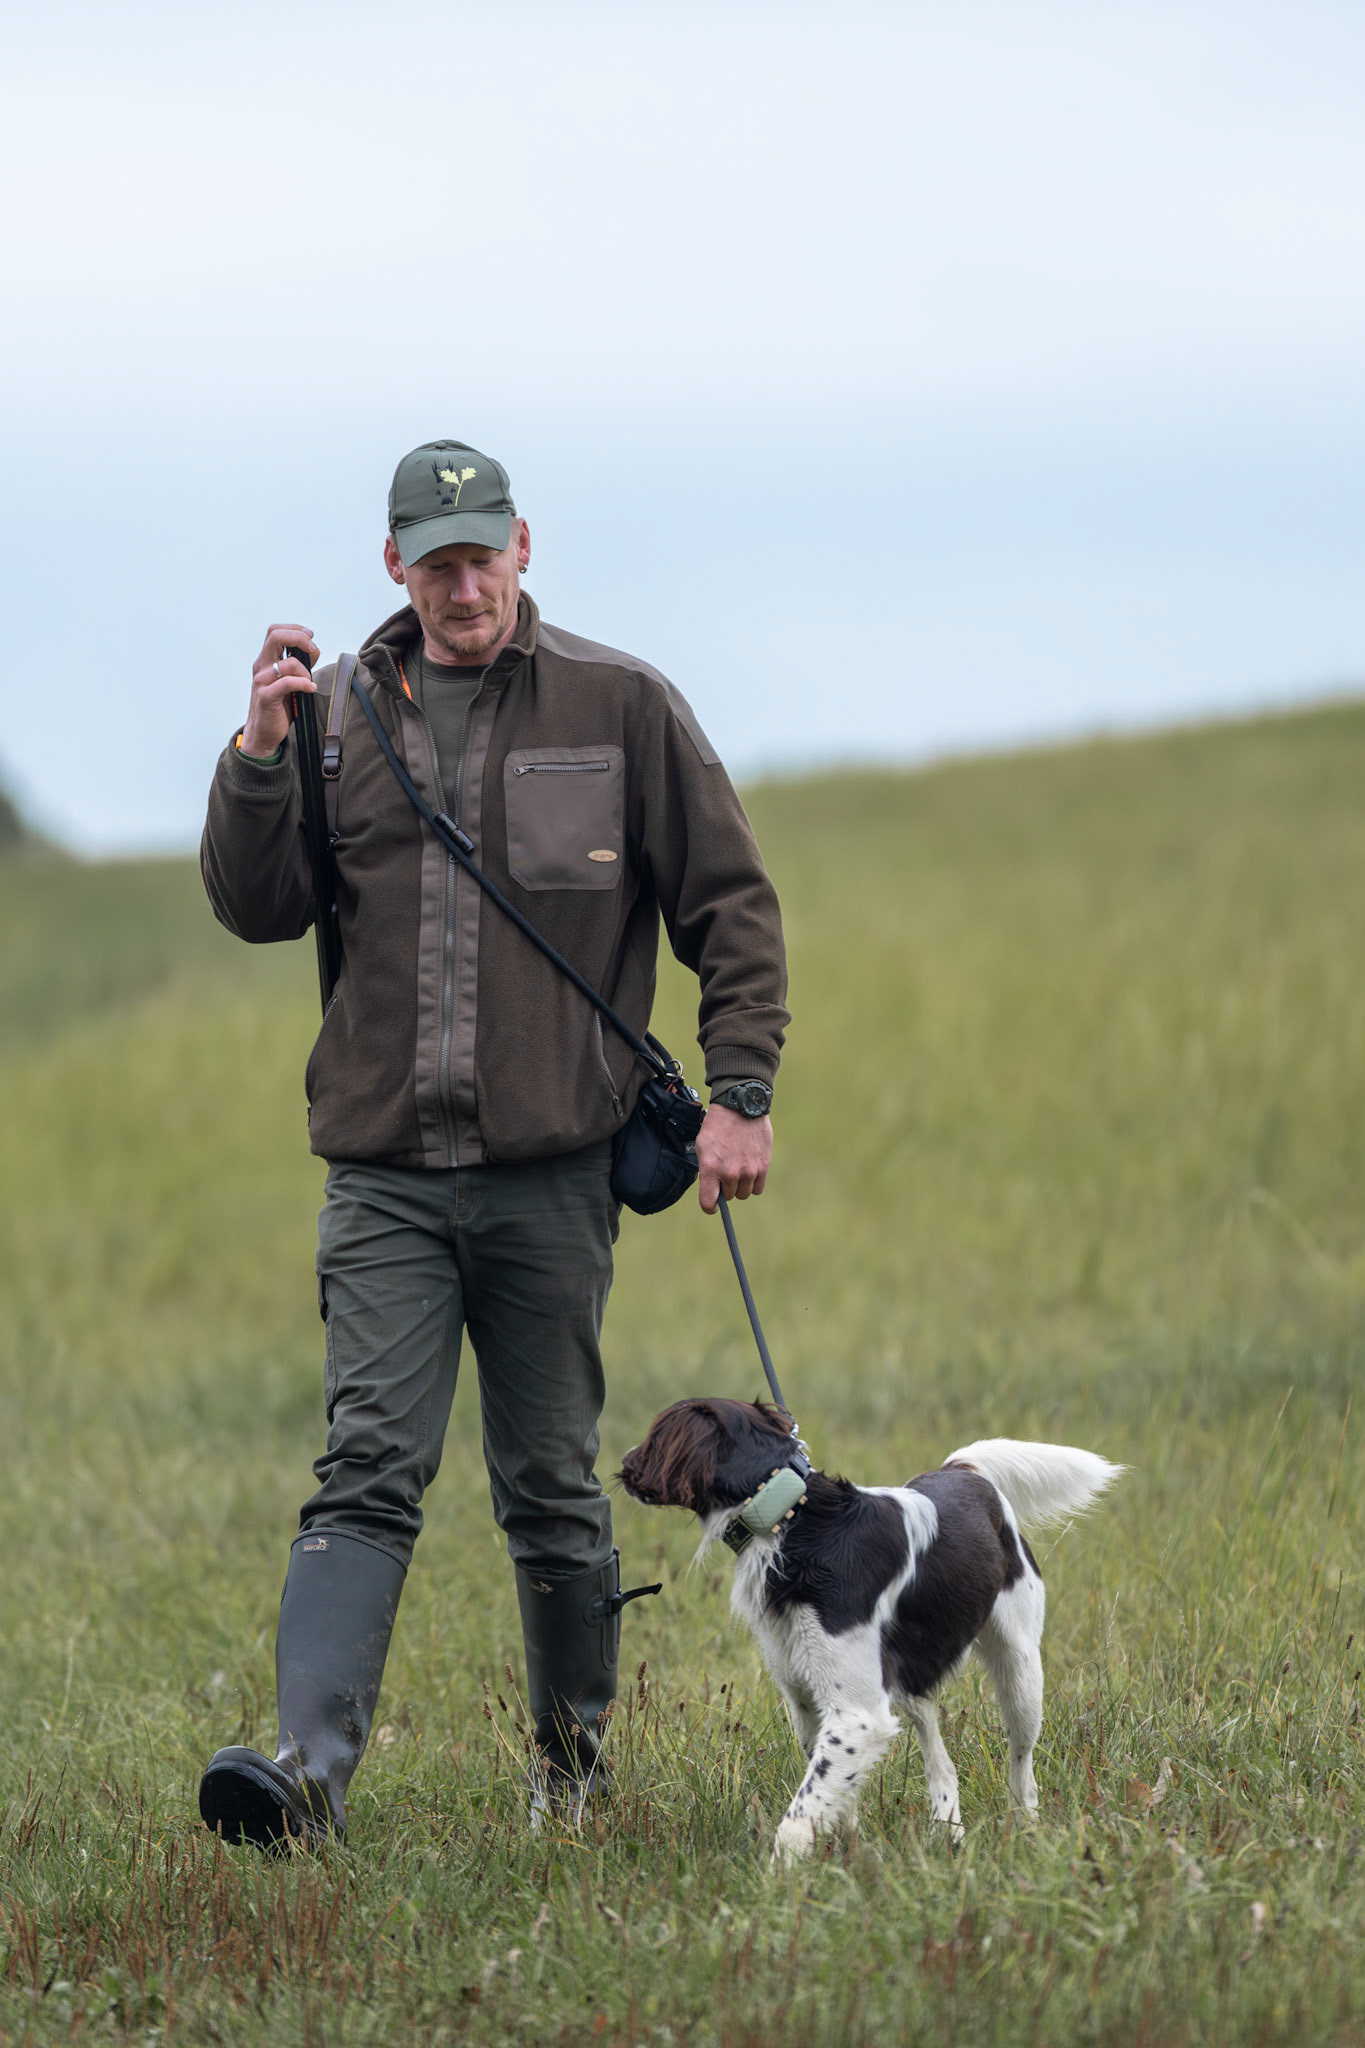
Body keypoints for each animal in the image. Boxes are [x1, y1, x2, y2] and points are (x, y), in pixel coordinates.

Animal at [619, 1397, 1122, 1861]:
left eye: (654, 1436)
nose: (624, 1462)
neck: (792, 1521)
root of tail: (963, 1472)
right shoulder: (811, 1703)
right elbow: (833, 1801)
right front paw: (852, 1862)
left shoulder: (856, 1714)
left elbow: (798, 1820)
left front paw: (776, 1882)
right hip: (908, 1682)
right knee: (943, 1764)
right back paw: (948, 1834)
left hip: (1019, 1672)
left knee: (1021, 1764)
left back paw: (1024, 1830)